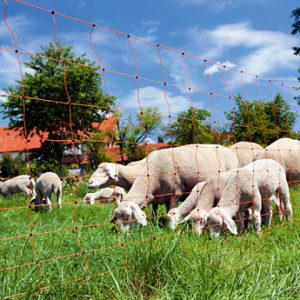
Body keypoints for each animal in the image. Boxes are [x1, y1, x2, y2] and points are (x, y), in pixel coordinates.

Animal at [110, 144, 239, 232]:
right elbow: (156, 211)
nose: (124, 235)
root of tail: (229, 150)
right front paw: (157, 223)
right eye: (117, 218)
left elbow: (171, 209)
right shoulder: (159, 195)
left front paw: (170, 227)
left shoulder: (175, 193)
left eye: (128, 216)